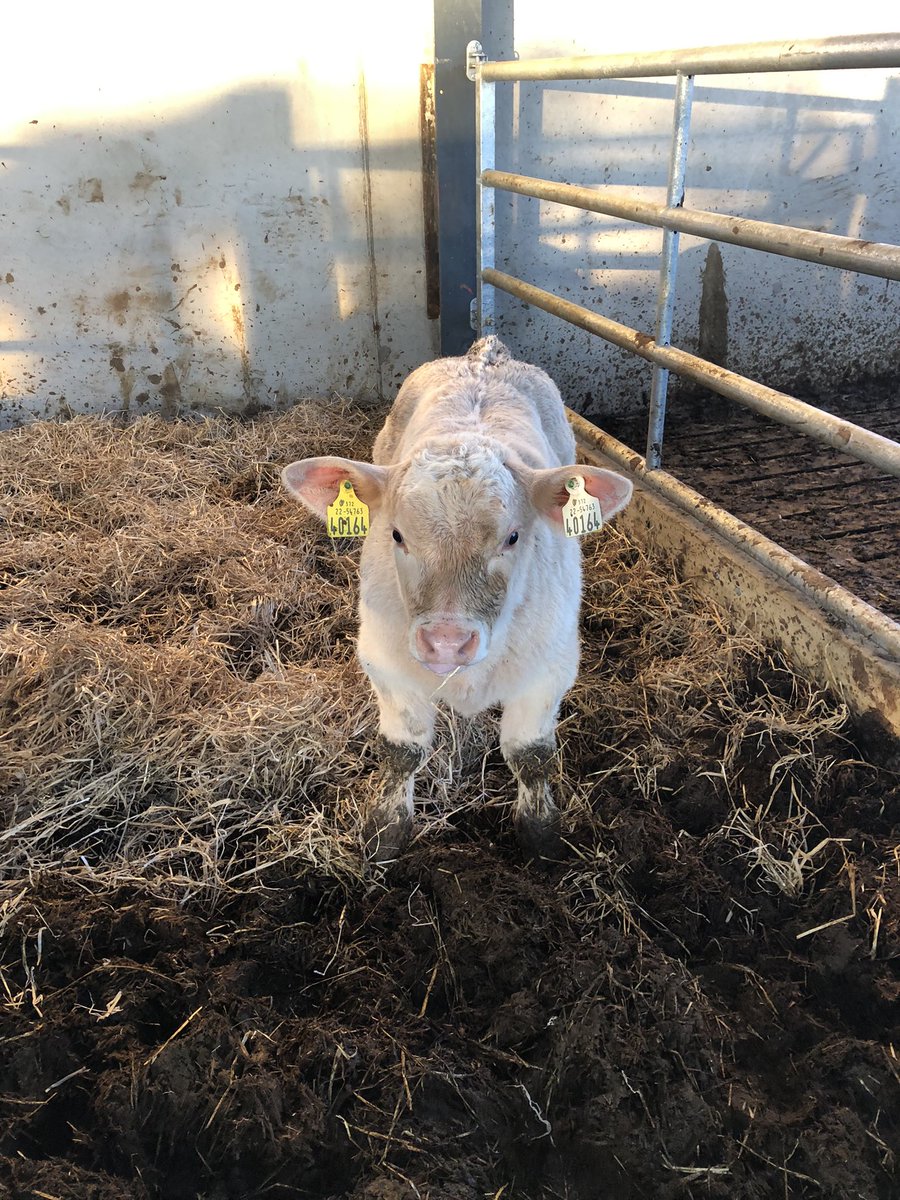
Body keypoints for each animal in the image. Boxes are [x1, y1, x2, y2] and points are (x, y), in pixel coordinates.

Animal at [281, 337, 633, 864]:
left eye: (512, 537)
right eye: (396, 535)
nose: (446, 641)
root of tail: (483, 354)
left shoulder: (550, 669)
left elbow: (531, 755)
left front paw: (541, 836)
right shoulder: (385, 663)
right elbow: (402, 751)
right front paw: (384, 833)